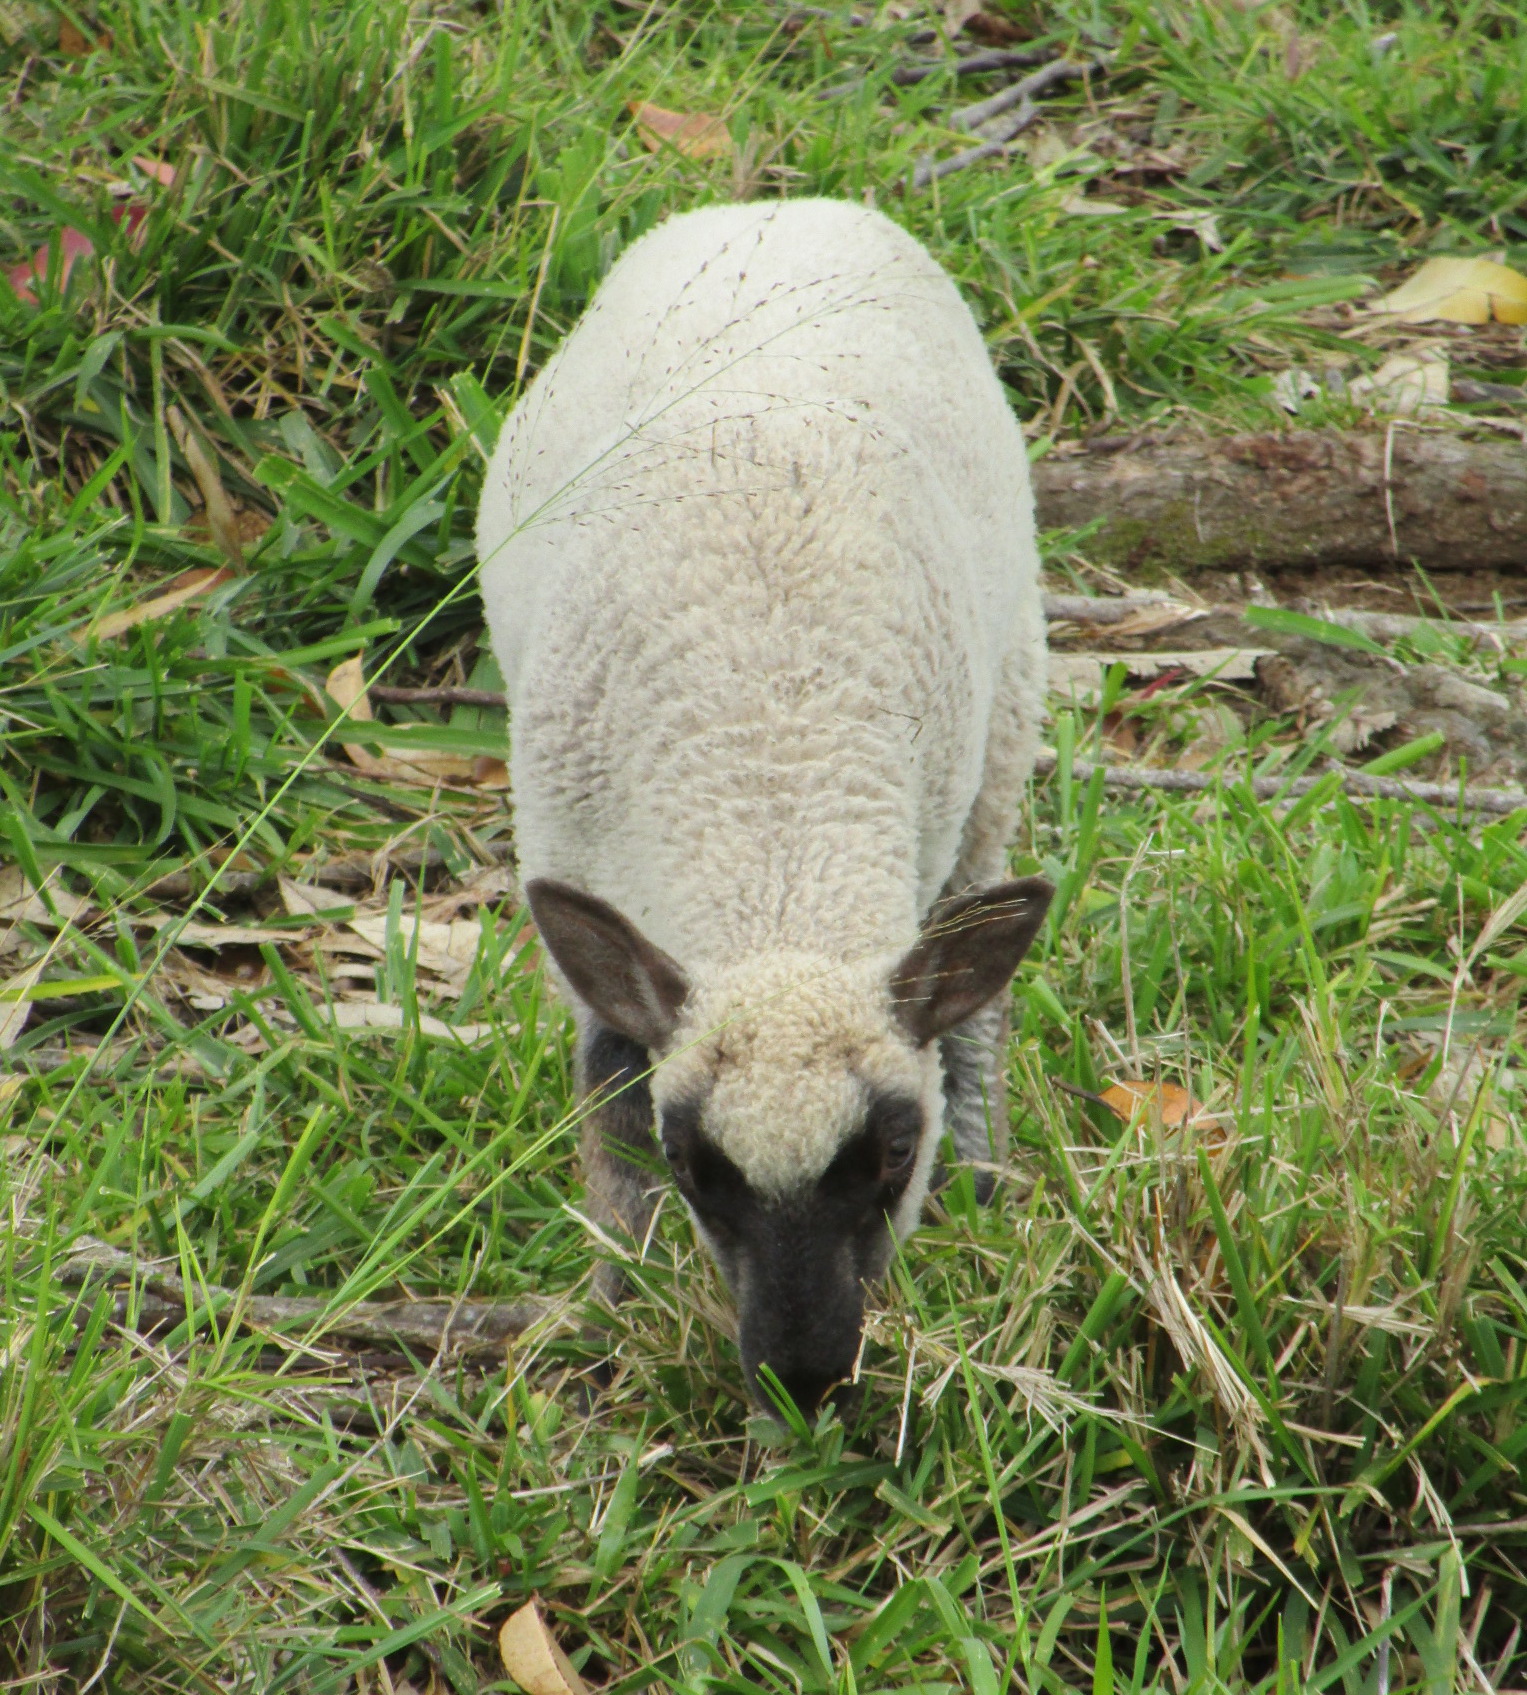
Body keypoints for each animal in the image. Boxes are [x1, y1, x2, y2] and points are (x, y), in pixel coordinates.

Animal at [477, 194, 1050, 1417]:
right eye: (696, 1164)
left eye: (894, 1151)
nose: (802, 1375)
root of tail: (783, 204)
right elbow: (608, 1114)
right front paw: (623, 1310)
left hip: (1009, 719)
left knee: (980, 1000)